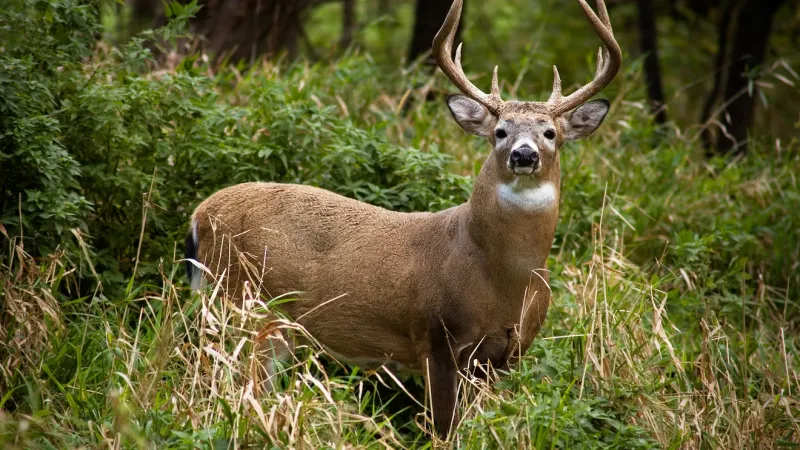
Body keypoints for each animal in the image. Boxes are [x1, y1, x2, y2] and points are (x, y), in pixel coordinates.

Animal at [184, 0, 620, 440]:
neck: (504, 279)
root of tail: (200, 215)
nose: (524, 154)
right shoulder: (436, 335)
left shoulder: (507, 354)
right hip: (239, 301)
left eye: (550, 133)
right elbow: (444, 428)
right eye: (499, 131)